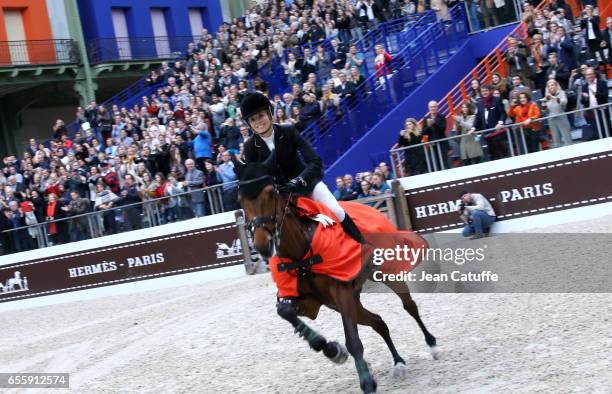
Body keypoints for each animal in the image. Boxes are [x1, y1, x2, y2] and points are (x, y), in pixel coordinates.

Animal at [235, 162, 440, 392]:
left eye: (271, 193)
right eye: (240, 200)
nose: (262, 245)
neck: (301, 254)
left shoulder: (341, 292)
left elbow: (353, 341)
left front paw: (367, 382)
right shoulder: (311, 302)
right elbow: (285, 311)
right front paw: (332, 350)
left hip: (383, 274)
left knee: (409, 306)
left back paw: (432, 345)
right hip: (348, 302)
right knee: (378, 322)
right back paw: (398, 362)